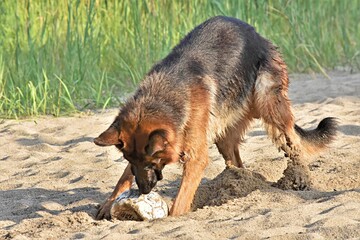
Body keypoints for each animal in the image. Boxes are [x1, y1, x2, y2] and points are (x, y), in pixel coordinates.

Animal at [93, 16, 338, 219]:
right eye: (130, 160)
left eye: (153, 162)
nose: (144, 190)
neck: (164, 96)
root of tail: (258, 35)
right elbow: (124, 175)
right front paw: (111, 201)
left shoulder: (195, 157)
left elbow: (181, 199)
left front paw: (172, 216)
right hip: (225, 135)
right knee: (236, 162)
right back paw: (237, 184)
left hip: (269, 104)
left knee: (292, 142)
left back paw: (299, 177)